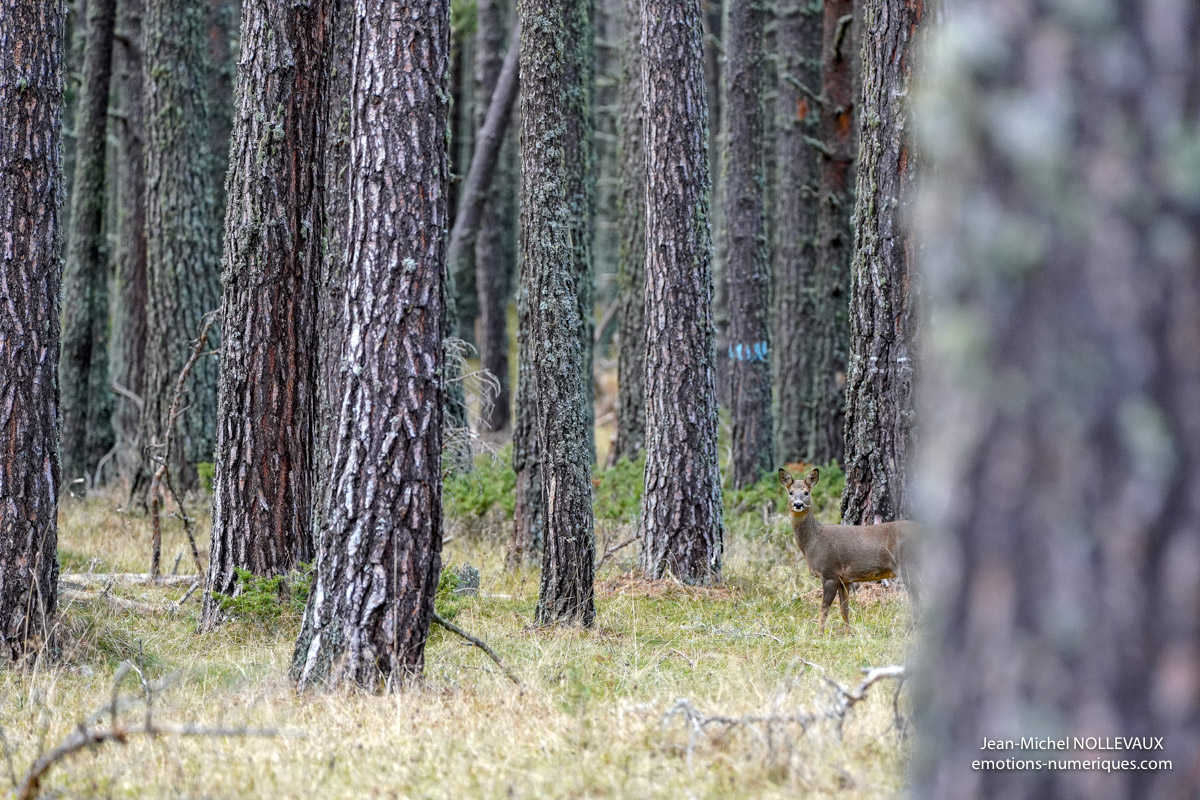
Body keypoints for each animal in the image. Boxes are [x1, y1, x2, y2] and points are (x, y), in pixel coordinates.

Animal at [779, 467, 920, 633]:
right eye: (790, 492)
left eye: (807, 492)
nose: (798, 504)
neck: (813, 542)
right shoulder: (844, 579)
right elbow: (844, 609)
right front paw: (849, 634)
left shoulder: (830, 573)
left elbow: (824, 609)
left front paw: (819, 634)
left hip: (908, 566)